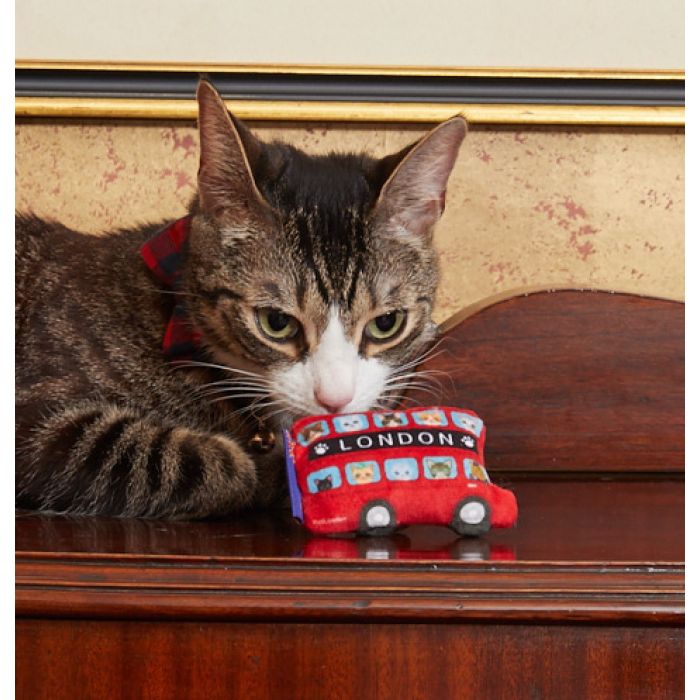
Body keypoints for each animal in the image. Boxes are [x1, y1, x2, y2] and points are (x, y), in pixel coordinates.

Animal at [13, 79, 468, 516]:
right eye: (276, 323)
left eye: (386, 323)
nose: (334, 401)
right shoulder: (38, 418)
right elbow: (210, 464)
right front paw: (285, 473)